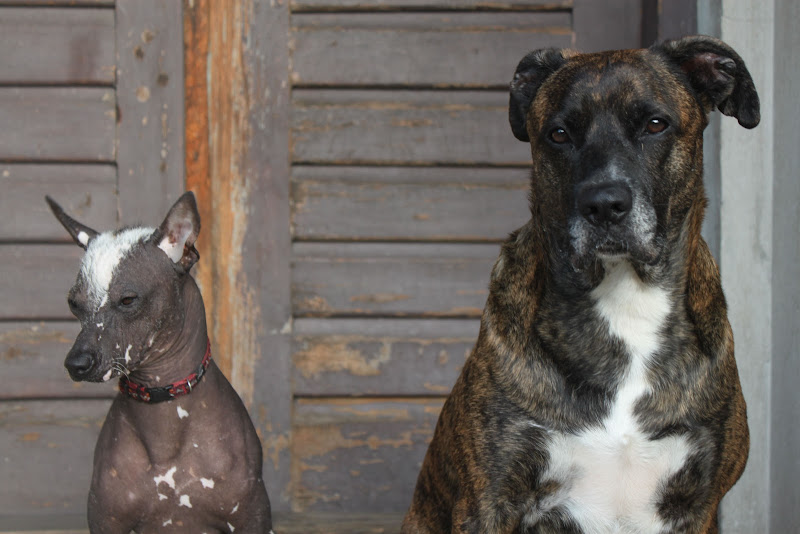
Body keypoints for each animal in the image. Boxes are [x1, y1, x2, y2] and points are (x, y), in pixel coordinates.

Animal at [402, 35, 758, 534]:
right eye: (558, 134)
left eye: (655, 124)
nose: (604, 204)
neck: (626, 299)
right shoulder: (488, 502)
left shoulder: (698, 505)